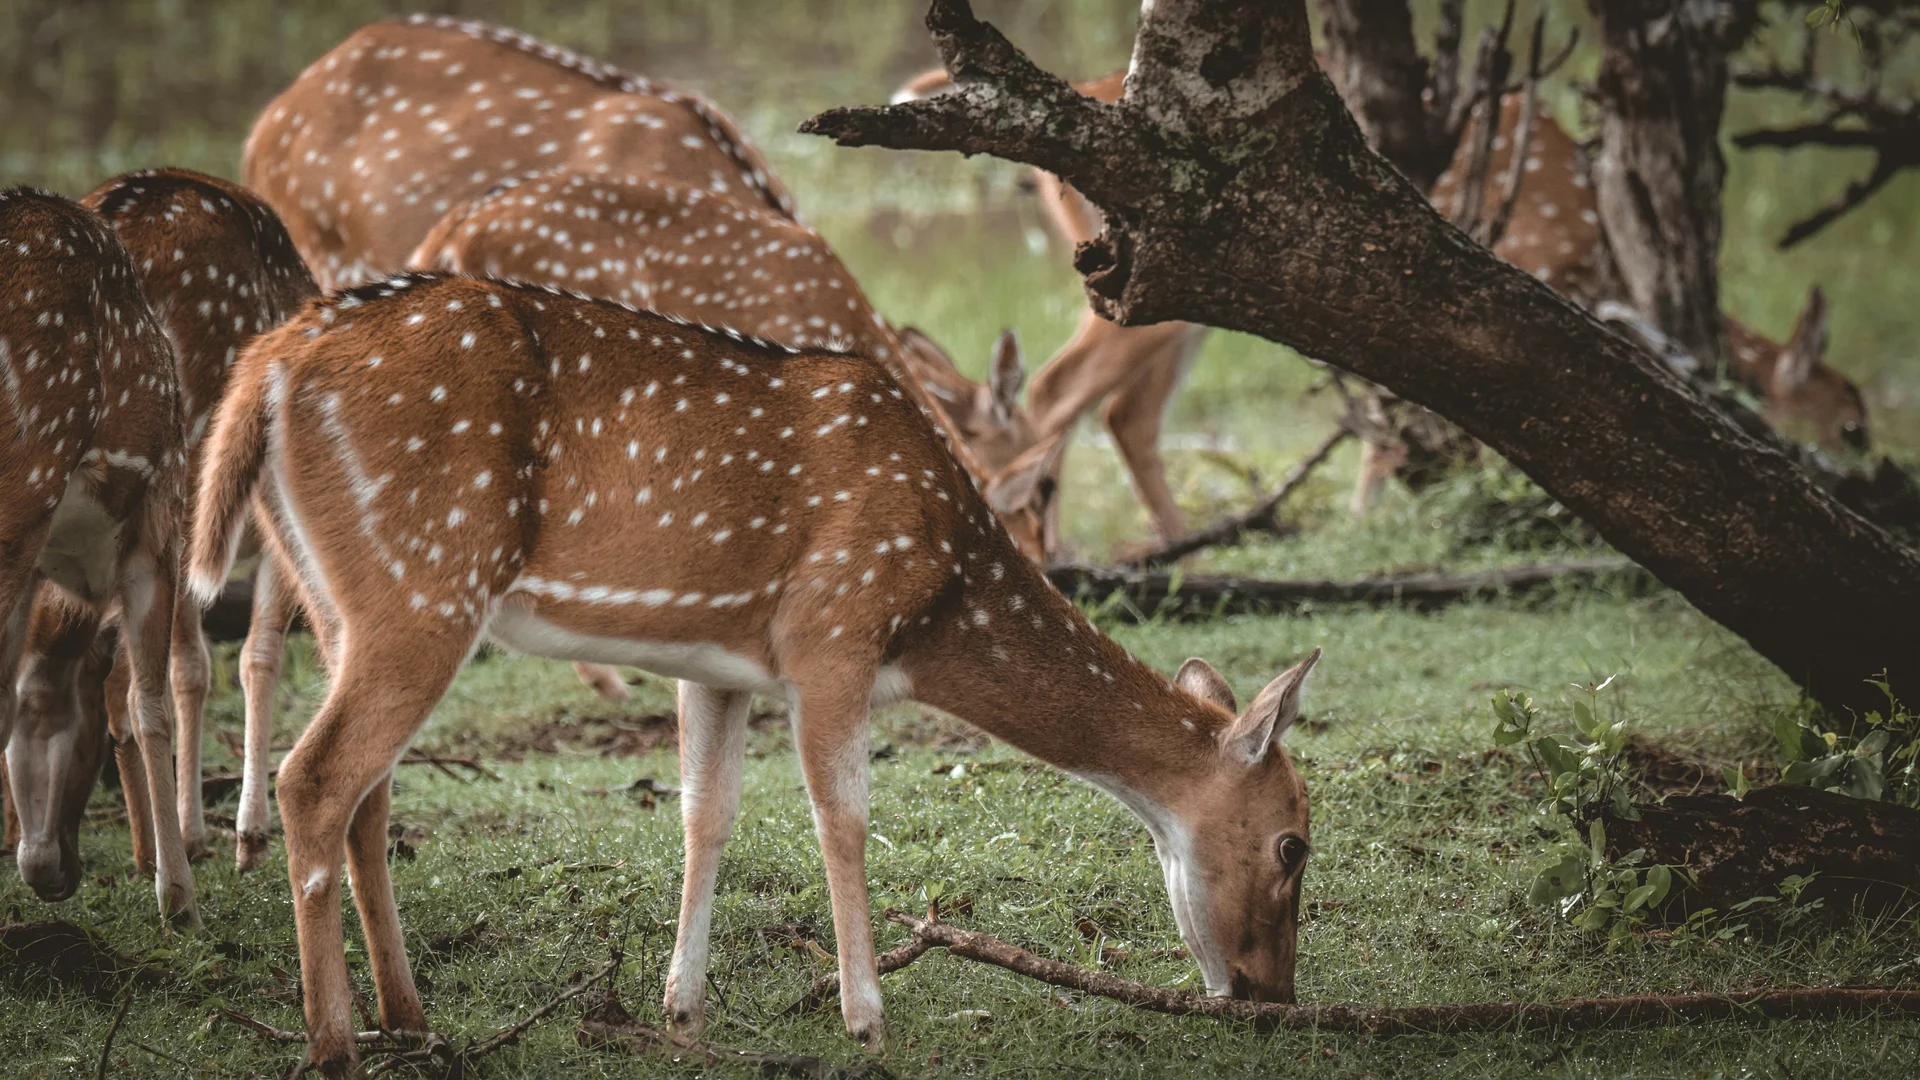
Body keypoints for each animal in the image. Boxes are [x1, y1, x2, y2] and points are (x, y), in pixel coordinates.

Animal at [187, 272, 1323, 1076]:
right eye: (1293, 844)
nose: (1275, 997)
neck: (936, 596)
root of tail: (267, 363)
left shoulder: (715, 664)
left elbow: (707, 814)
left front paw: (681, 1009)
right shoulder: (834, 634)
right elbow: (843, 819)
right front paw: (866, 1018)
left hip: (336, 594)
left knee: (366, 795)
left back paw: (411, 1021)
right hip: (422, 582)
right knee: (313, 778)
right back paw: (334, 1044)